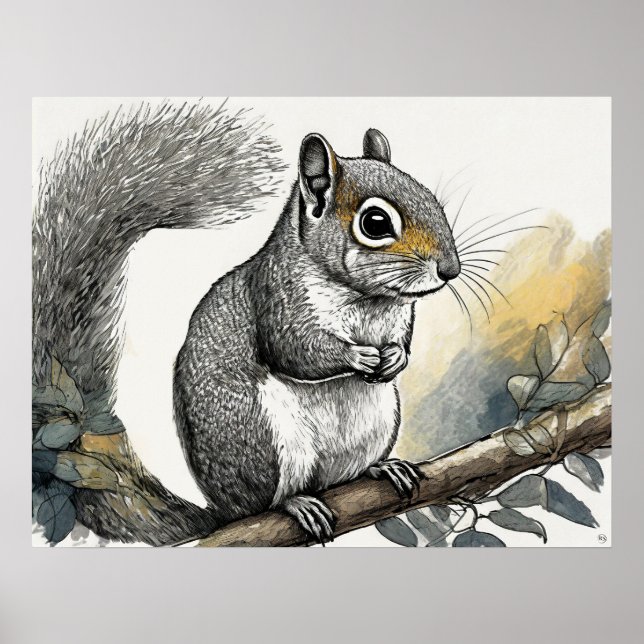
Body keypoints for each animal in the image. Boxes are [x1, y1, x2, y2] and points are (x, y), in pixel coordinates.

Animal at [33, 102, 460, 545]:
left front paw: (395, 359)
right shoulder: (277, 300)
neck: (368, 299)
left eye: (432, 200)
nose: (451, 269)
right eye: (375, 223)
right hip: (262, 436)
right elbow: (295, 352)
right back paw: (295, 502)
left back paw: (381, 468)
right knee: (266, 500)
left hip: (377, 421)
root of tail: (223, 512)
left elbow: (401, 342)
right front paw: (357, 357)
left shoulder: (398, 318)